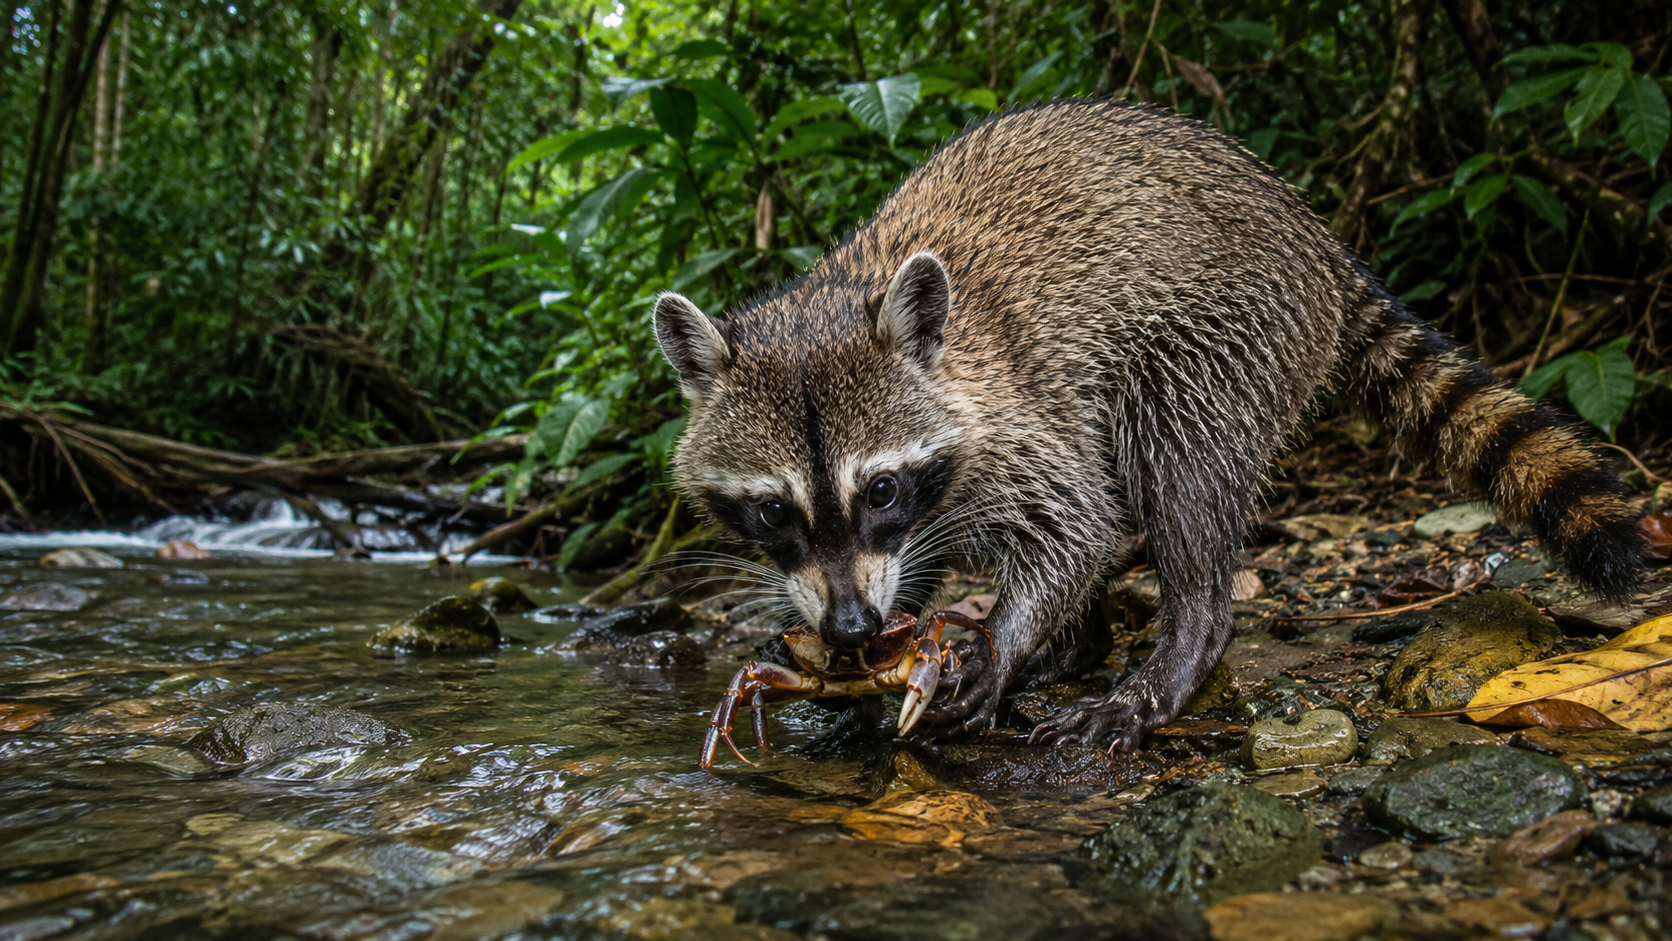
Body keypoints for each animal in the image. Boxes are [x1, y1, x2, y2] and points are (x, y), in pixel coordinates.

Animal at [654, 100, 1643, 750]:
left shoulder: (1015, 416)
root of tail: (1320, 239)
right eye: (774, 511)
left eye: (882, 487)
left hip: (1224, 333)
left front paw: (997, 641)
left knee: (1179, 474)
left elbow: (1074, 528)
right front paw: (884, 640)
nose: (855, 629)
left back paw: (1174, 648)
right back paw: (1079, 643)